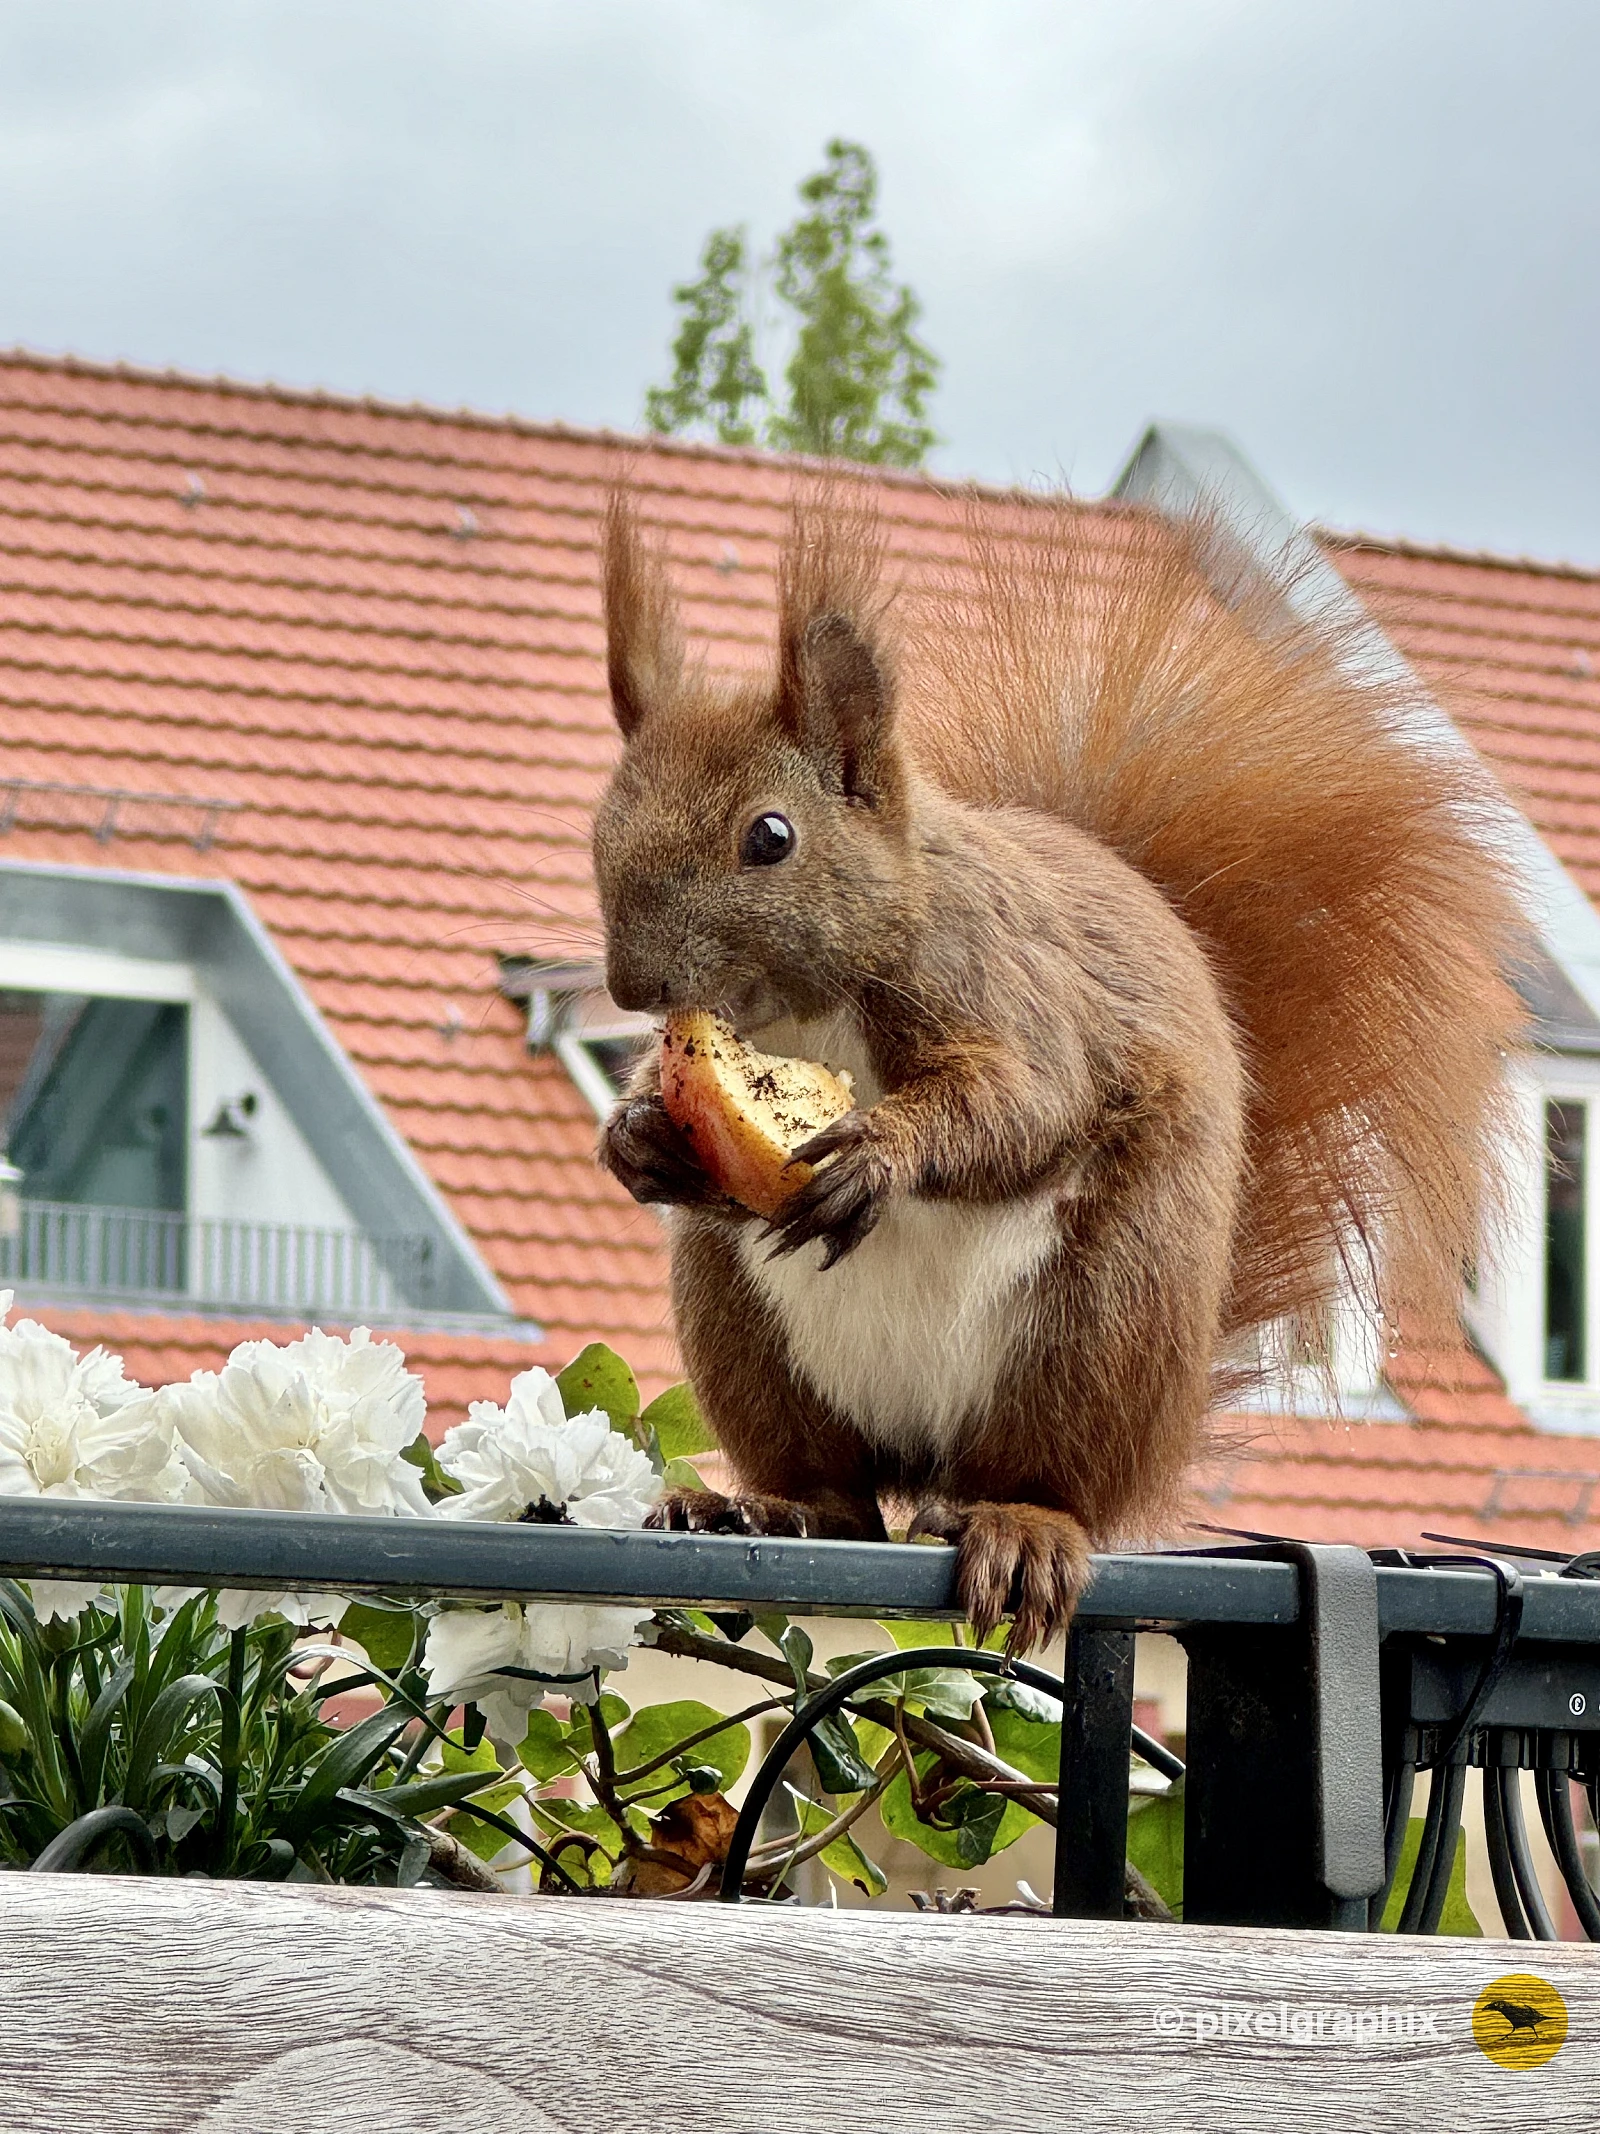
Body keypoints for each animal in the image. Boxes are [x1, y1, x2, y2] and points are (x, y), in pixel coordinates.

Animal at [592, 487, 1525, 1650]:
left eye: (771, 836)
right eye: (603, 821)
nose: (631, 982)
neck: (809, 1009)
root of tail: (927, 1463)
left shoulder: (1005, 982)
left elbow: (1027, 1101)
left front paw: (880, 1155)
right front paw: (635, 1137)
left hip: (1098, 1326)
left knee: (1040, 1481)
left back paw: (1020, 1527)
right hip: (746, 1334)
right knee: (840, 1497)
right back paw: (764, 1505)